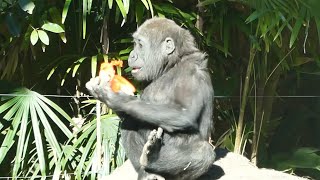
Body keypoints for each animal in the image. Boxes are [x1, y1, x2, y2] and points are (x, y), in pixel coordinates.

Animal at [85, 17, 215, 180]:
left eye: (140, 45)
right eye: (135, 44)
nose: (132, 55)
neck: (172, 64)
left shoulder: (191, 73)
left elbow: (185, 112)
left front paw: (115, 98)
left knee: (204, 153)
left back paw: (153, 157)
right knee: (130, 122)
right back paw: (147, 172)